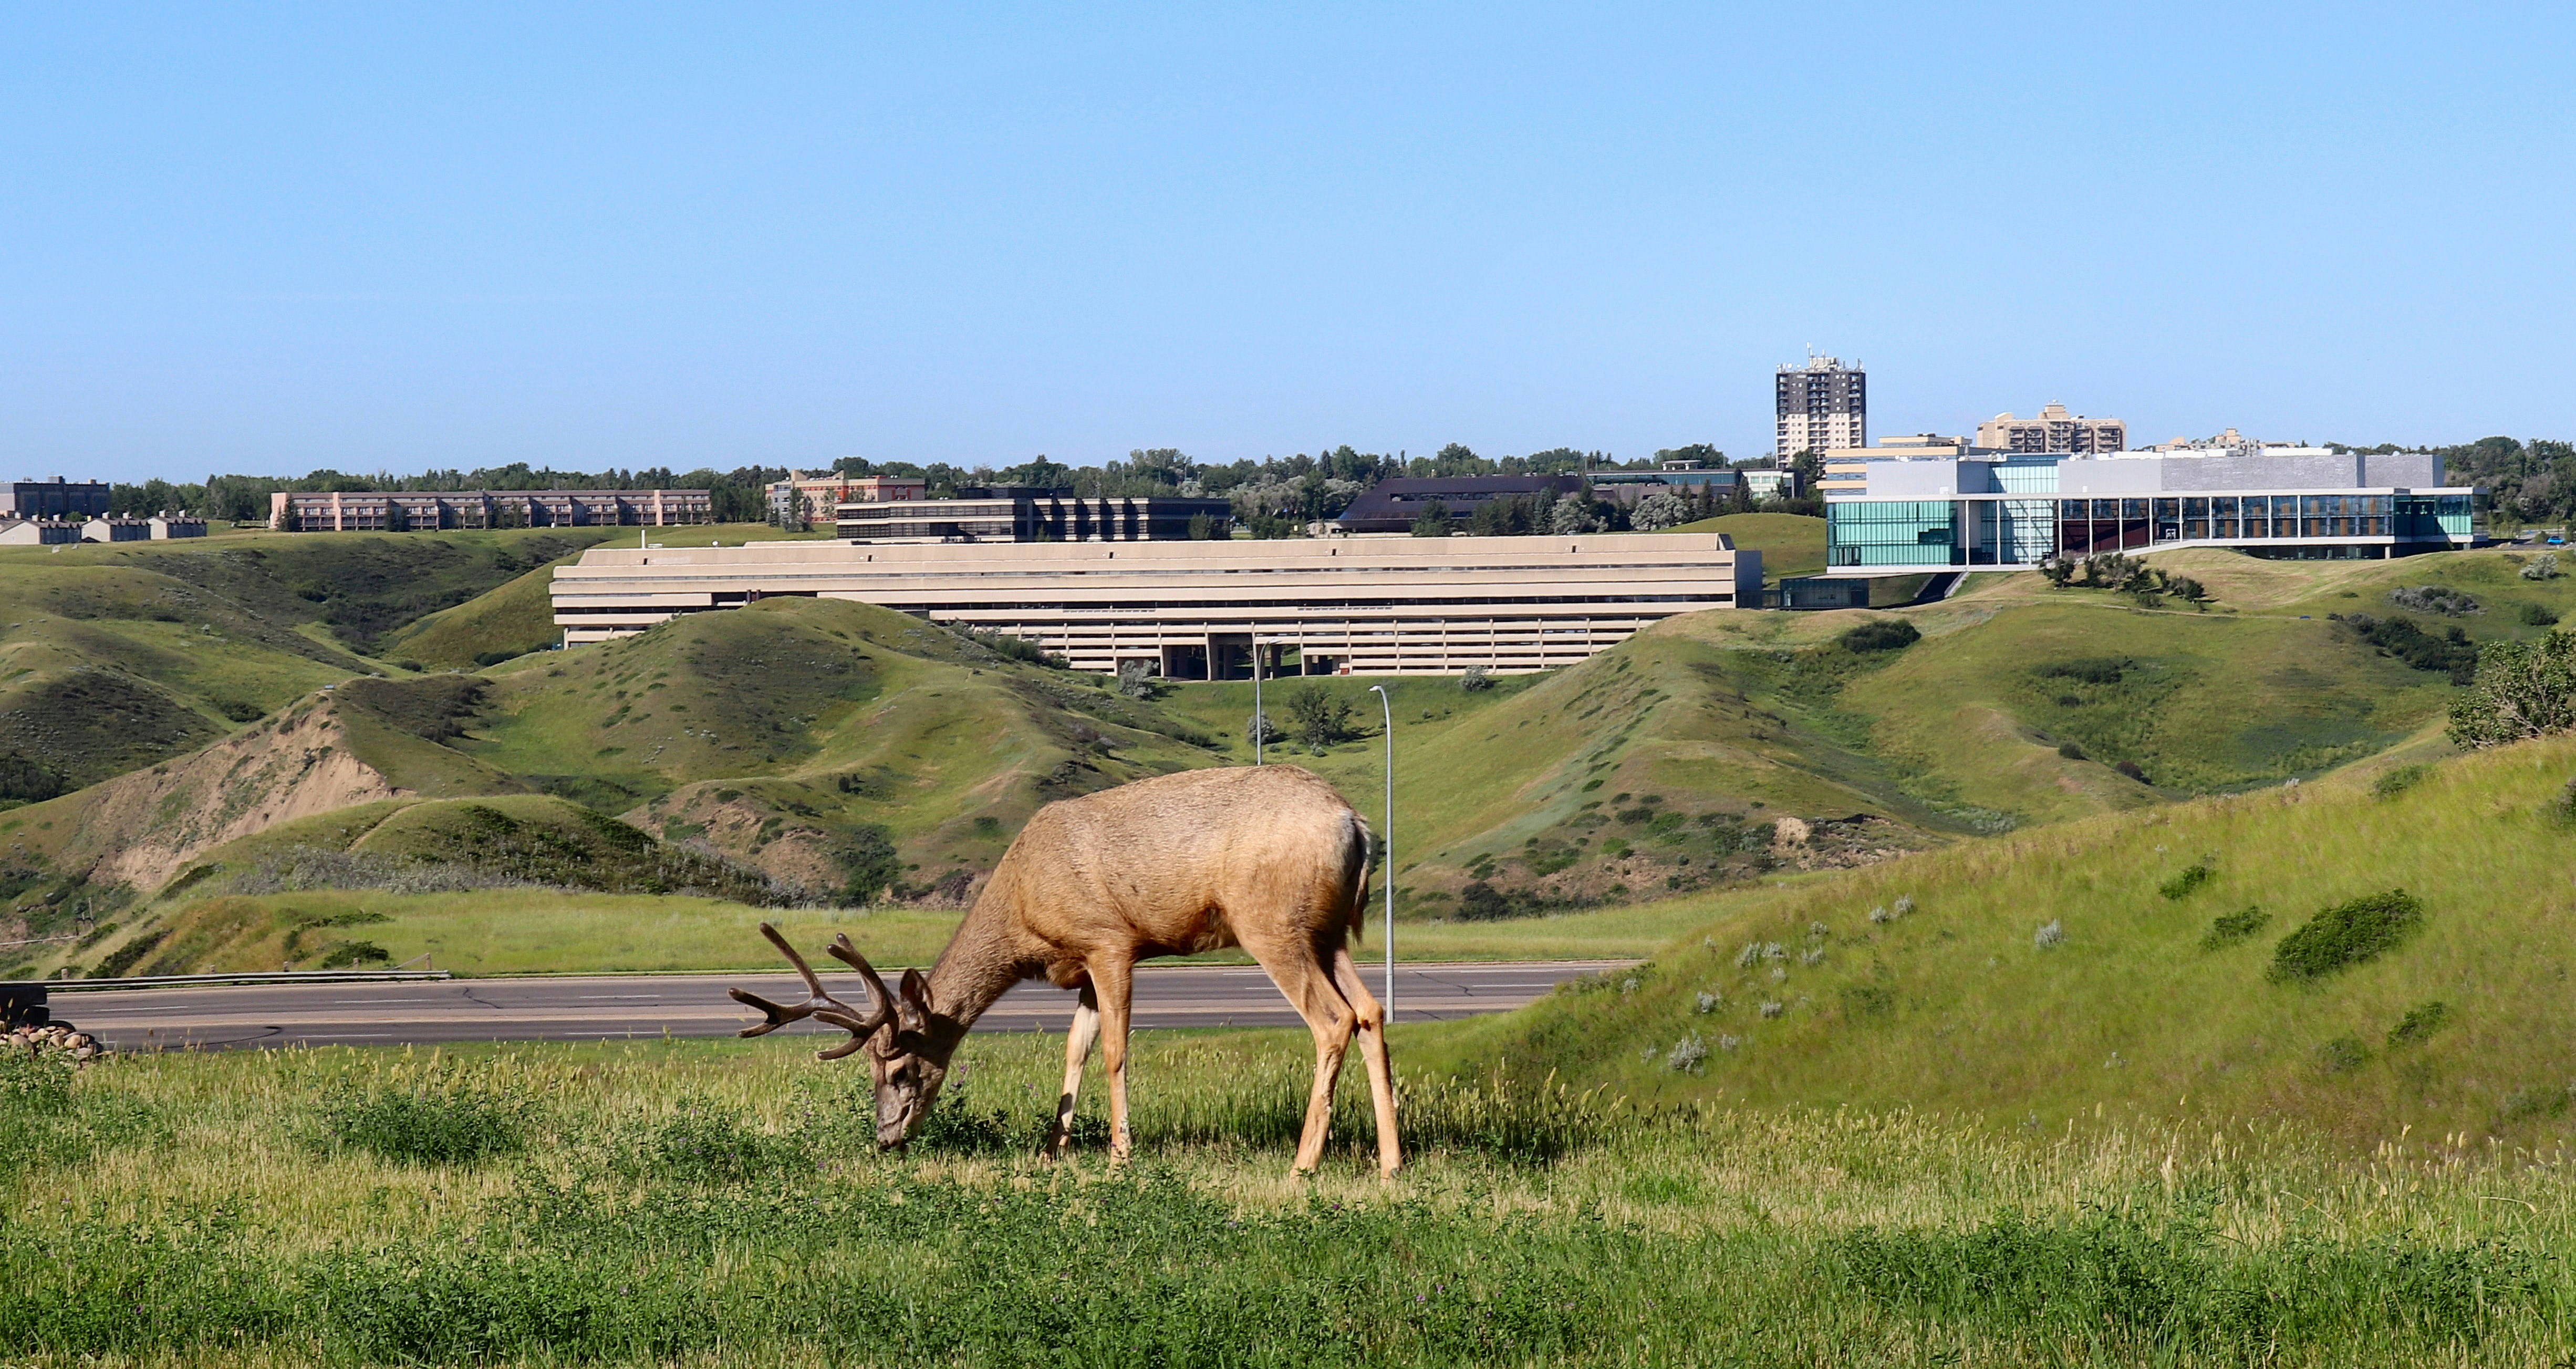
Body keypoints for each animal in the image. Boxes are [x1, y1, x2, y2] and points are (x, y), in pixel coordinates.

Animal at [729, 764, 1402, 1176]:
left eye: (900, 1067)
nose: (886, 1137)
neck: (1023, 904)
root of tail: (1355, 824)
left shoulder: (1109, 941)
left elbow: (1114, 1049)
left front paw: (1119, 1155)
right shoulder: (1080, 970)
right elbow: (1073, 1048)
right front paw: (1052, 1151)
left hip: (1271, 921)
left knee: (1331, 1018)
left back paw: (1303, 1162)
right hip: (1327, 931)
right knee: (1370, 1009)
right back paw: (1391, 1162)